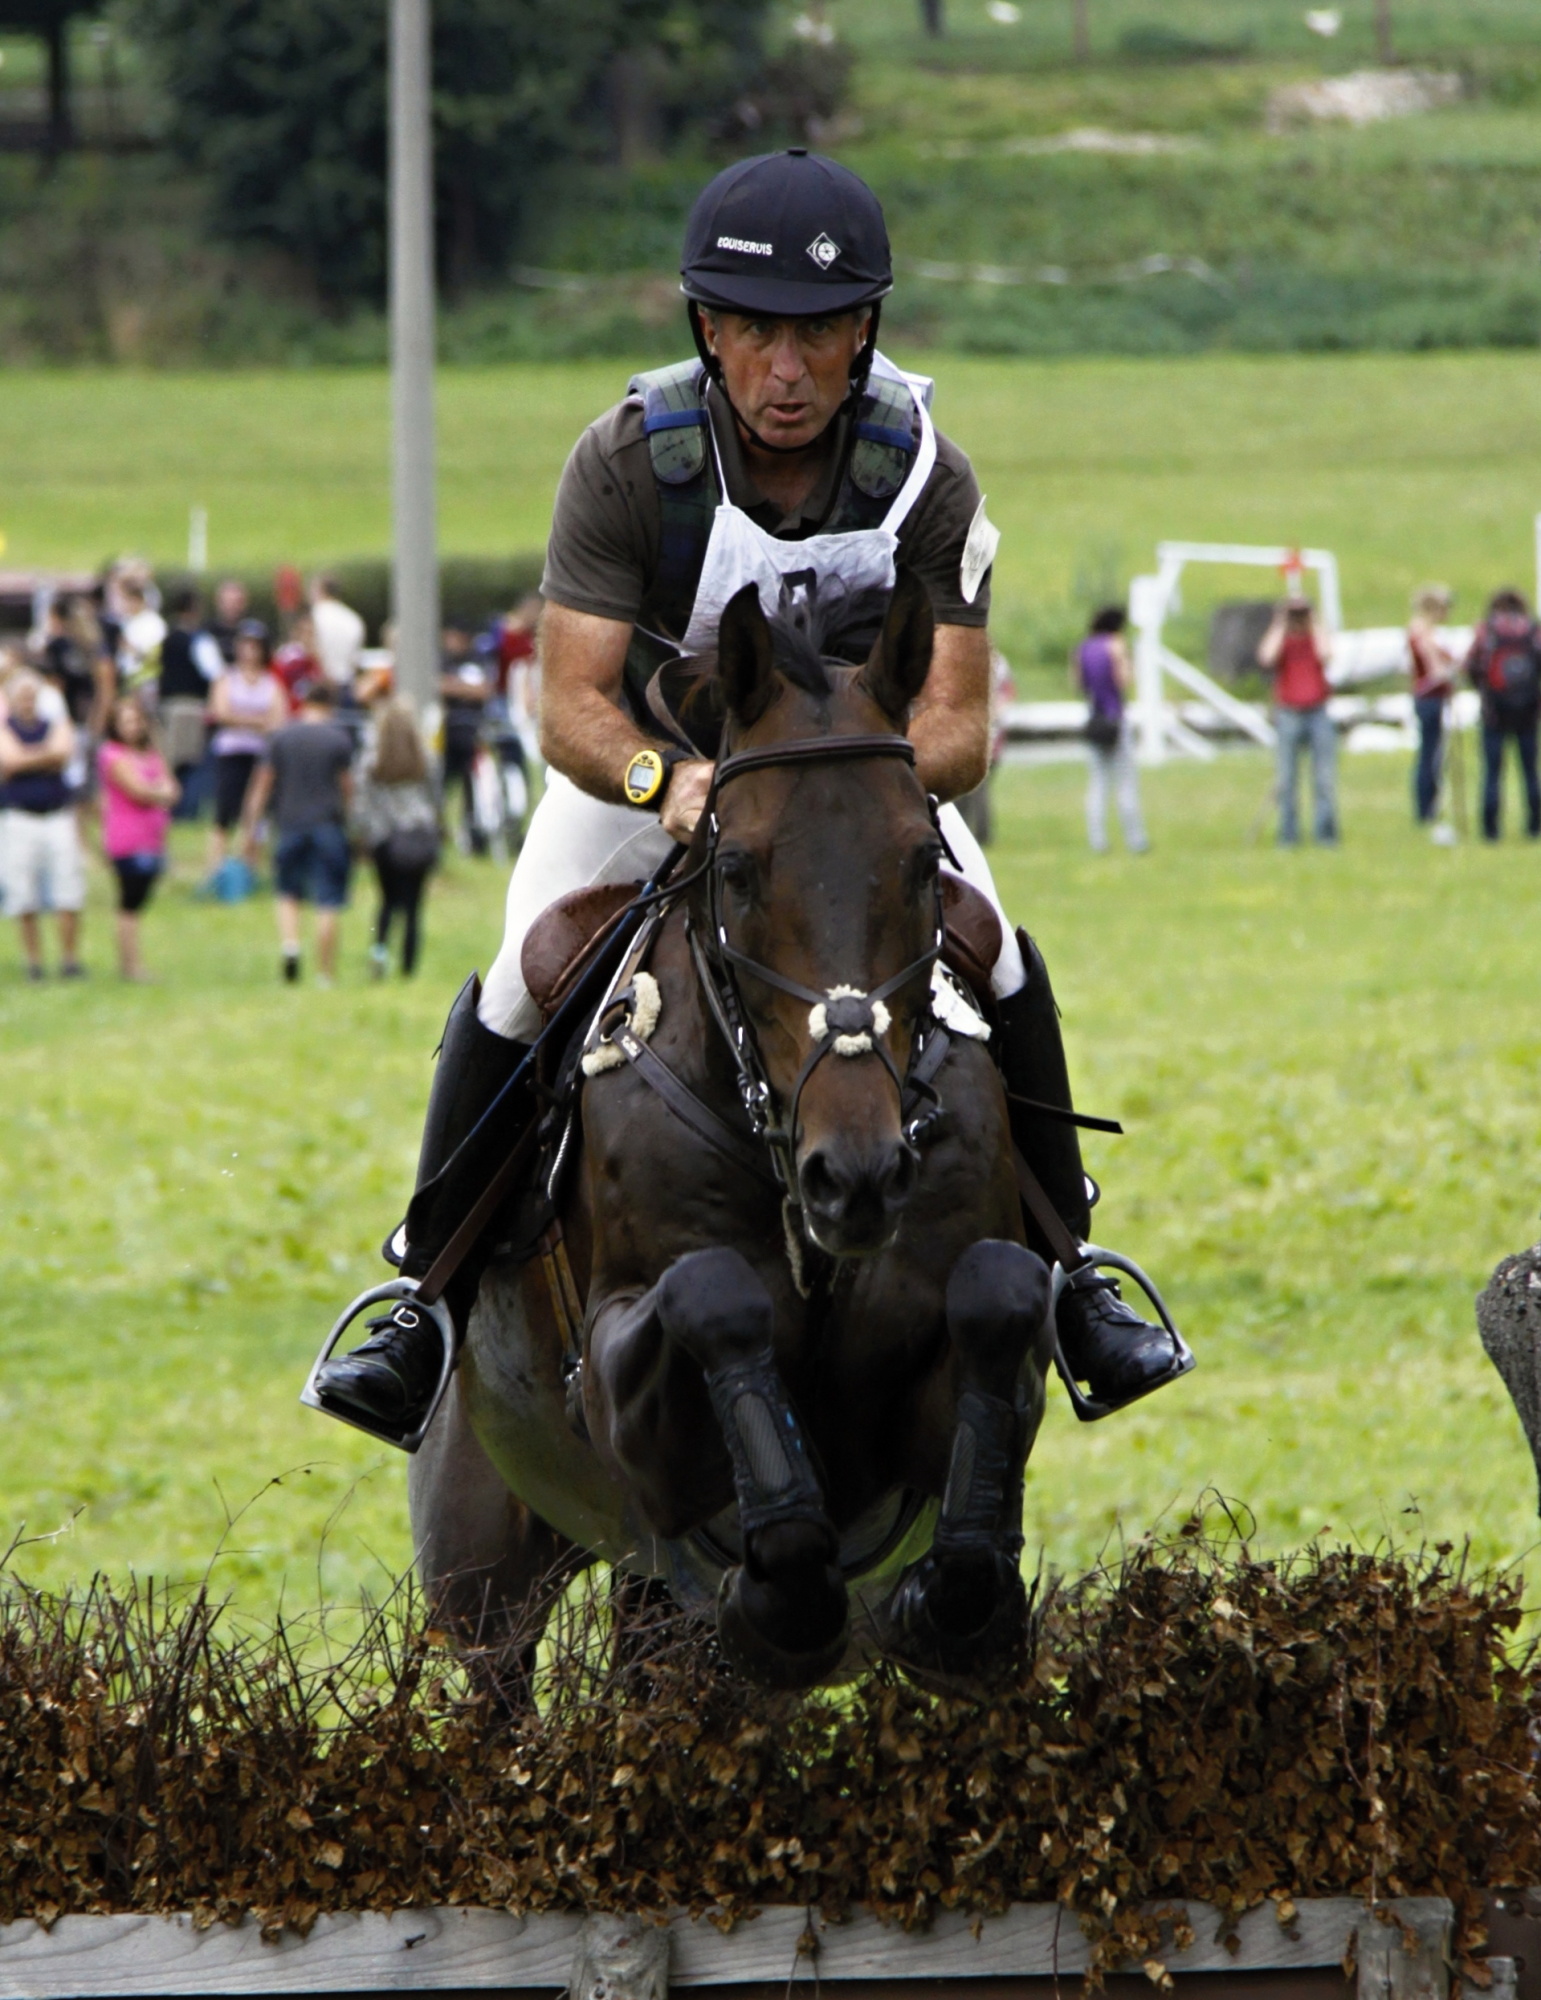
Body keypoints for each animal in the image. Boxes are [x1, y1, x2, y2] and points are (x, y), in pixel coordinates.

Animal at [408, 580, 1048, 1688]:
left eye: (922, 860)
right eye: (739, 869)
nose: (856, 1177)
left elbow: (998, 1294)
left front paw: (941, 1603)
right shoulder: (615, 1390)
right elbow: (712, 1295)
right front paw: (783, 1594)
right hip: (483, 1565)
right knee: (502, 1664)